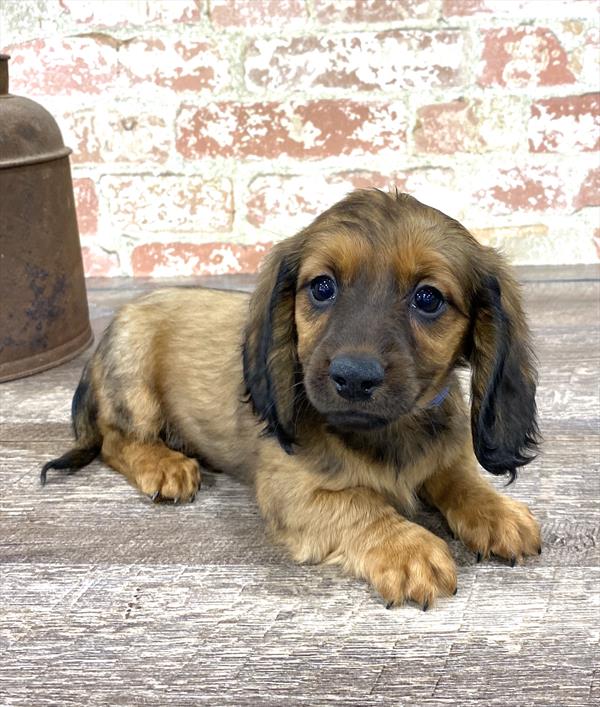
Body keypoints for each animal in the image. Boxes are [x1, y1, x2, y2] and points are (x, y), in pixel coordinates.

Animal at [42, 192, 540, 608]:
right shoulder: (291, 490)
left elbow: (462, 478)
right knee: (115, 440)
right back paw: (163, 464)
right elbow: (360, 503)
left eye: (428, 298)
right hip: (135, 375)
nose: (353, 378)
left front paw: (496, 510)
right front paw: (408, 547)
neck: (387, 434)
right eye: (322, 287)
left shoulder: (443, 455)